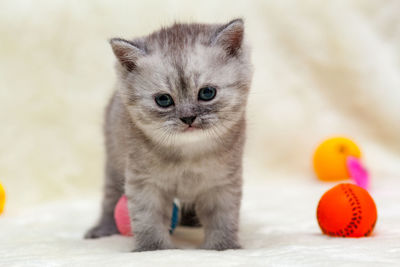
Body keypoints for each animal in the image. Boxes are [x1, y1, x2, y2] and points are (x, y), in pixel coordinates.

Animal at [85, 18, 253, 251]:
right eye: (164, 100)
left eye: (207, 93)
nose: (188, 118)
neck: (188, 152)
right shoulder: (144, 183)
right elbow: (148, 219)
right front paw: (153, 249)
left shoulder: (223, 182)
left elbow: (223, 218)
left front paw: (223, 246)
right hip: (114, 162)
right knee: (110, 198)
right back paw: (104, 228)